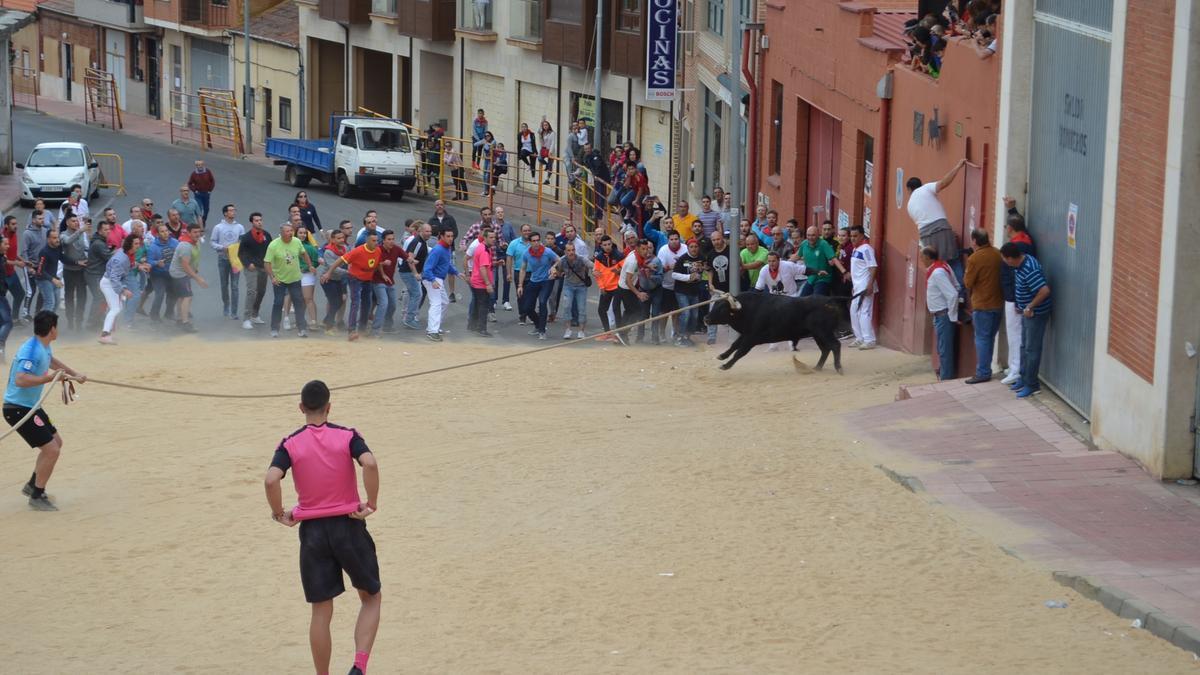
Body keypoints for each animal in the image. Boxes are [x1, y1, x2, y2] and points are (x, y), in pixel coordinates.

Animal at [700, 290, 864, 372]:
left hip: (823, 332)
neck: (747, 309)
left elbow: (740, 352)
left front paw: (725, 366)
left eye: (722, 309)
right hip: (817, 334)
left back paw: (838, 368)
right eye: (715, 305)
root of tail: (829, 300)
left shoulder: (752, 338)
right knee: (825, 349)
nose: (706, 318)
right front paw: (721, 356)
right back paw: (816, 368)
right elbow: (734, 345)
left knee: (835, 346)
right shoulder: (746, 334)